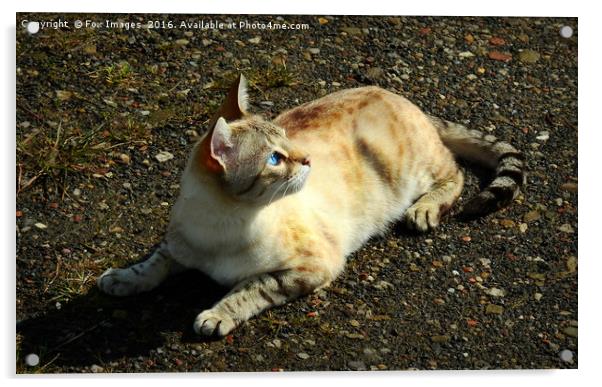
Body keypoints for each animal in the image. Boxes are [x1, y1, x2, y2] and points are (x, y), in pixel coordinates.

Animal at [96, 74, 524, 338]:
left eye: (286, 139)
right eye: (274, 158)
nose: (307, 159)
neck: (220, 224)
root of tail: (406, 100)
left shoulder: (314, 265)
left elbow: (252, 287)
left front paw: (217, 315)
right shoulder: (177, 245)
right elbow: (151, 265)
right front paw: (120, 279)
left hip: (414, 170)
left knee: (455, 173)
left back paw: (424, 210)